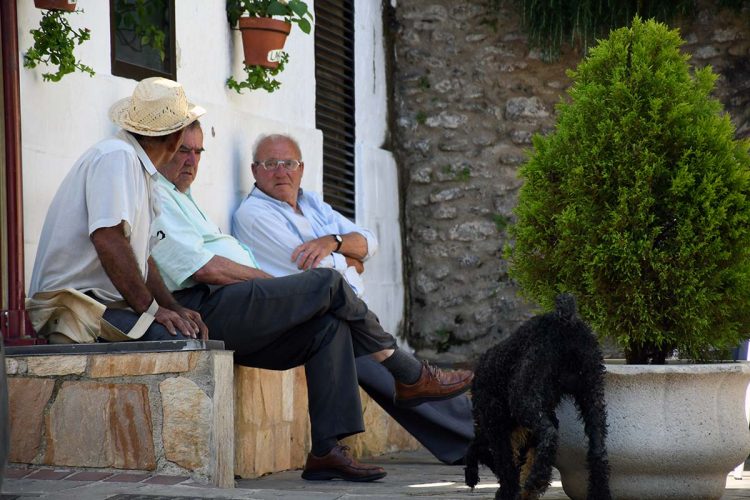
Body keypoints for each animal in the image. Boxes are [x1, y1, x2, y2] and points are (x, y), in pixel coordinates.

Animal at [468, 294, 612, 498]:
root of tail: (565, 322)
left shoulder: (496, 427)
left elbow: (506, 466)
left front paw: (508, 491)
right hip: (592, 393)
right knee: (598, 451)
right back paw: (599, 493)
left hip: (523, 396)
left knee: (550, 435)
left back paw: (537, 479)